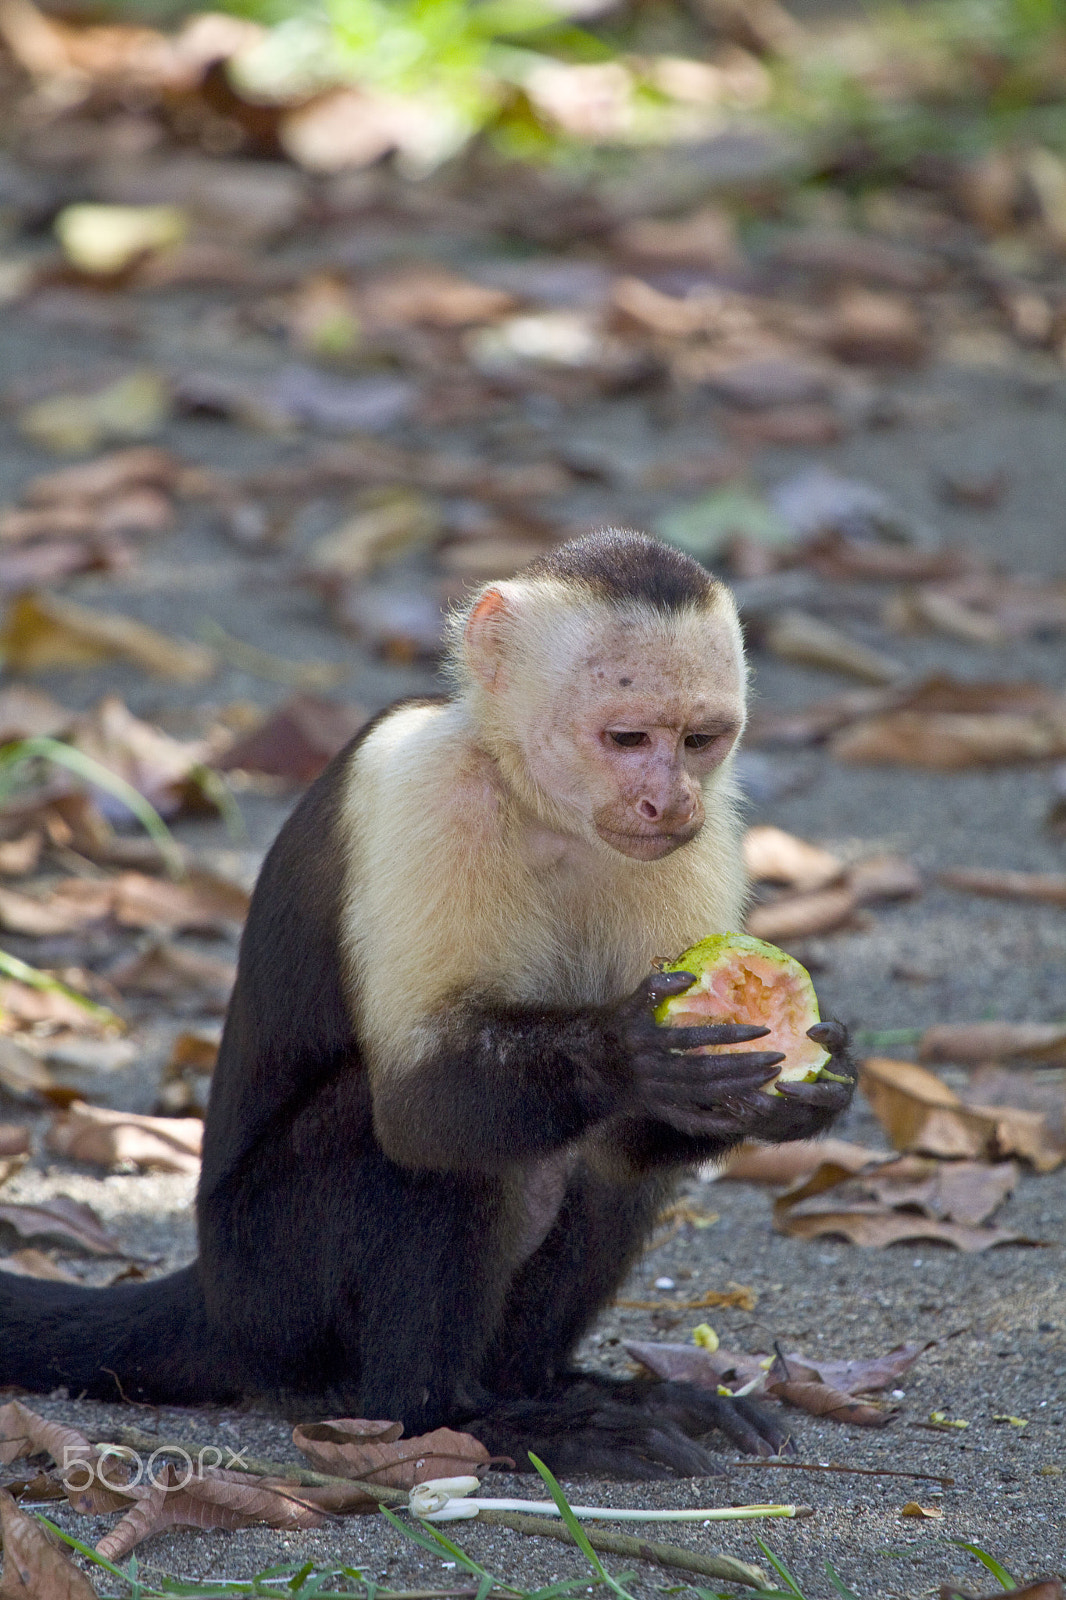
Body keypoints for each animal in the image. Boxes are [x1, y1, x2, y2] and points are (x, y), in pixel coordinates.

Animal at [0, 531, 851, 1478]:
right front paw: (625, 1053)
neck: (537, 805)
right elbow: (418, 1109)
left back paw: (547, 1388)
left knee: (593, 1158)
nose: (669, 801)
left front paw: (806, 1092)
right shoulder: (426, 789)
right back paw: (452, 1416)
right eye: (627, 736)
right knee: (419, 1151)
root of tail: (216, 1299)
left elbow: (639, 1136)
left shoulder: (703, 841)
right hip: (271, 1286)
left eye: (702, 740)